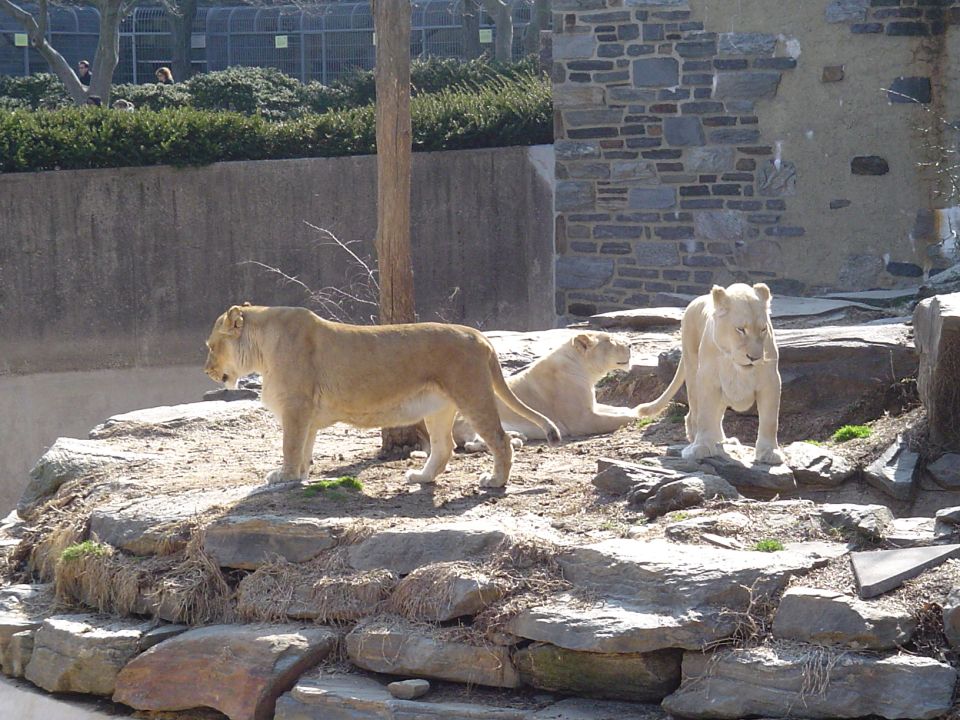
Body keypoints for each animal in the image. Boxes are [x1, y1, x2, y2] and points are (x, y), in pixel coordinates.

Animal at [203, 304, 561, 488]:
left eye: (211, 346)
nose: (206, 371)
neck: (262, 348)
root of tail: (480, 335)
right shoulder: (306, 414)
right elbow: (304, 446)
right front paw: (301, 475)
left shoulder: (296, 406)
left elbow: (290, 445)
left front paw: (284, 477)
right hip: (439, 407)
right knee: (444, 447)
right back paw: (421, 477)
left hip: (472, 395)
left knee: (500, 439)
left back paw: (495, 481)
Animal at [453, 331, 637, 449]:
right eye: (611, 340)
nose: (630, 344)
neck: (585, 369)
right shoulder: (582, 420)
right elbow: (615, 419)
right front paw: (637, 417)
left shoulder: (592, 405)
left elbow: (619, 409)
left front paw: (632, 409)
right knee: (471, 444)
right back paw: (515, 441)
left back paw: (517, 436)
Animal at [637, 283, 784, 465]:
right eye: (740, 329)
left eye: (763, 329)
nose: (754, 358)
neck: (734, 364)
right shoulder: (707, 380)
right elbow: (705, 415)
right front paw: (702, 447)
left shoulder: (771, 381)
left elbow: (770, 420)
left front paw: (770, 452)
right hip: (692, 370)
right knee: (693, 414)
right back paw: (698, 442)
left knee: (718, 416)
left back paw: (724, 441)